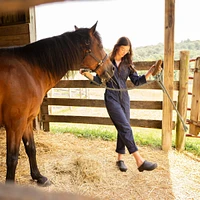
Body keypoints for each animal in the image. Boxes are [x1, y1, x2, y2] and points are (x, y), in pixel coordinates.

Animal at [0, 21, 113, 186]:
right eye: (99, 45)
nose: (112, 68)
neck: (27, 71)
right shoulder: (15, 124)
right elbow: (12, 158)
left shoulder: (27, 121)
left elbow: (31, 148)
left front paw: (38, 177)